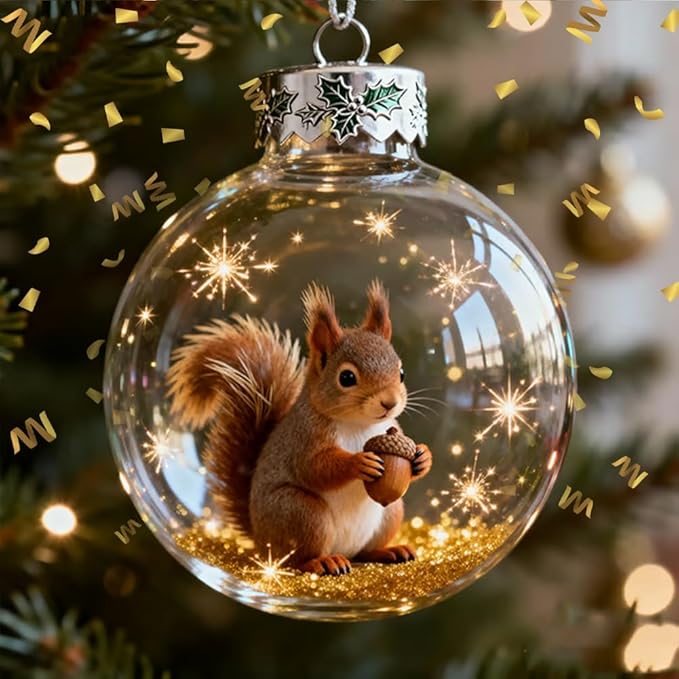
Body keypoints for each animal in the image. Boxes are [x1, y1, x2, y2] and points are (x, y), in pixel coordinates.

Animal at [167, 280, 433, 576]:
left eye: (401, 373)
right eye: (346, 377)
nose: (390, 402)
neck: (360, 424)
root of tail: (262, 541)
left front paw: (423, 456)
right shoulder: (304, 436)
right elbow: (314, 467)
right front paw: (359, 462)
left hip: (390, 511)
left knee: (365, 552)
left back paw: (389, 551)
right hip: (302, 513)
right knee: (298, 560)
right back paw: (323, 562)